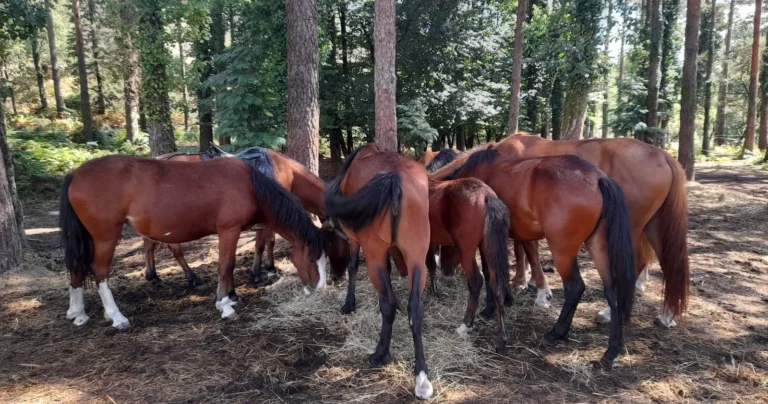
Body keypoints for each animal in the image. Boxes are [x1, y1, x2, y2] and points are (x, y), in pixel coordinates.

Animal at [59, 154, 333, 328]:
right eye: (311, 259)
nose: (320, 289)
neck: (252, 185)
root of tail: (75, 174)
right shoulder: (229, 230)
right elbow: (226, 266)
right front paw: (225, 305)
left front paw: (231, 296)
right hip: (106, 236)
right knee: (100, 272)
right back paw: (116, 317)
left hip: (88, 238)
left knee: (77, 268)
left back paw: (78, 312)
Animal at [325, 144, 434, 399]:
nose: (334, 275)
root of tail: (395, 177)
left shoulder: (356, 241)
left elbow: (353, 267)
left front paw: (349, 303)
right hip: (416, 255)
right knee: (416, 308)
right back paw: (421, 375)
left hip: (374, 254)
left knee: (388, 303)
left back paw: (379, 354)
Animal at [427, 177, 511, 354]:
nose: (448, 271)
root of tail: (485, 195)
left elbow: (429, 264)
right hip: (487, 248)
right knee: (497, 286)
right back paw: (501, 339)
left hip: (467, 251)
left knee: (476, 282)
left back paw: (466, 325)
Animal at [441, 150, 636, 366]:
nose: (446, 270)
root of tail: (598, 178)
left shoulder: (486, 242)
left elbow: (488, 272)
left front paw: (489, 309)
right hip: (597, 245)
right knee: (612, 291)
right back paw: (612, 350)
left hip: (562, 251)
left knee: (575, 287)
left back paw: (555, 333)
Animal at [463, 133, 690, 328]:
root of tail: (662, 154)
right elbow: (526, 250)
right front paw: (528, 283)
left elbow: (527, 251)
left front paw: (533, 288)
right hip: (654, 225)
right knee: (669, 264)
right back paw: (666, 316)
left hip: (632, 229)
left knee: (635, 265)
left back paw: (609, 313)